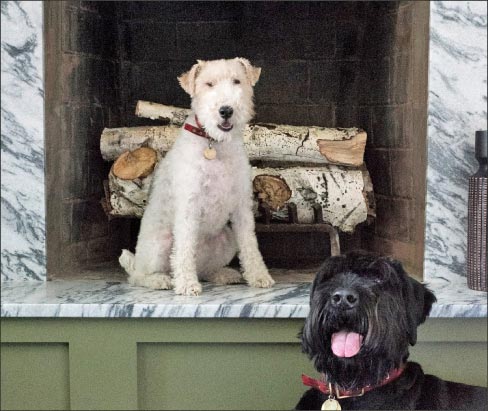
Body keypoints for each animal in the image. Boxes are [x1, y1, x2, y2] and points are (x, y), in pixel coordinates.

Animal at [119, 58, 274, 296]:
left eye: (237, 81)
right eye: (208, 84)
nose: (226, 110)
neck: (214, 143)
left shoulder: (241, 205)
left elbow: (250, 245)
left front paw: (259, 277)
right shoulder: (189, 204)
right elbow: (184, 248)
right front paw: (186, 286)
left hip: (227, 239)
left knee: (206, 270)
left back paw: (225, 274)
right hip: (159, 244)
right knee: (138, 276)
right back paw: (162, 280)